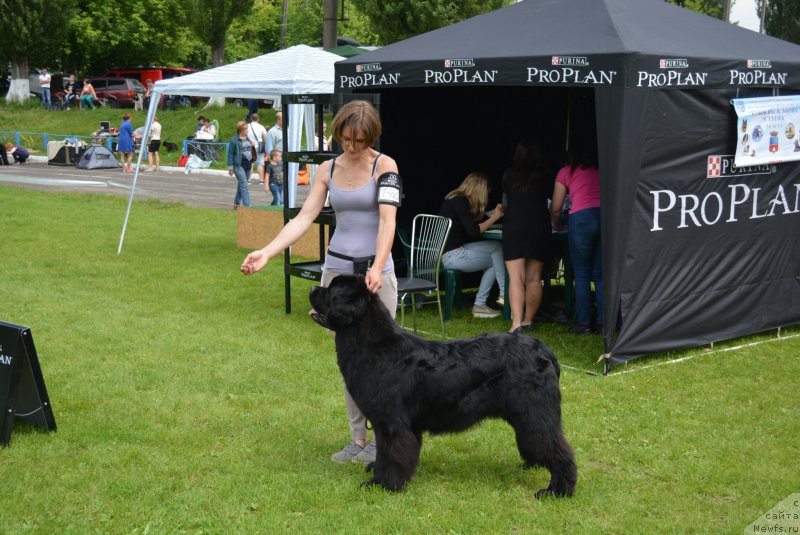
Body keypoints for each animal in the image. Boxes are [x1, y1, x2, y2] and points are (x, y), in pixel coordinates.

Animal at [306, 276, 576, 498]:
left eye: (331, 291)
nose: (312, 288)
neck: (375, 346)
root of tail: (543, 349)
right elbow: (384, 453)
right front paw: (377, 472)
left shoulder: (392, 424)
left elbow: (392, 455)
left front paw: (384, 485)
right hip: (526, 416)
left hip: (536, 414)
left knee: (559, 450)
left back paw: (558, 491)